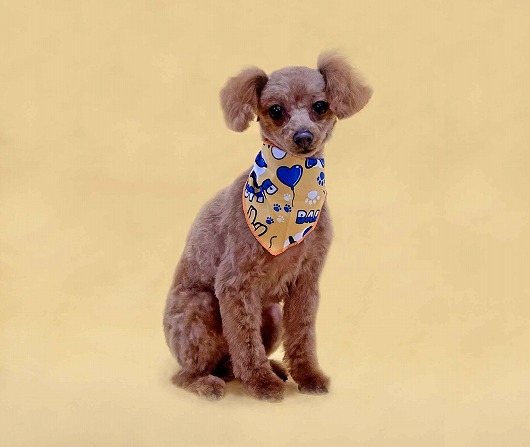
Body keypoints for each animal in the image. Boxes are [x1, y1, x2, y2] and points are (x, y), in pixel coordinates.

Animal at [163, 53, 372, 401]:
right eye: (276, 110)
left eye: (320, 106)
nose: (304, 137)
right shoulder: (235, 284)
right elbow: (246, 343)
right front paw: (261, 383)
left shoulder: (306, 282)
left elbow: (302, 335)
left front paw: (308, 376)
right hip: (200, 308)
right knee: (186, 374)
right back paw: (208, 383)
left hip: (271, 315)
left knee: (230, 361)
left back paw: (271, 368)